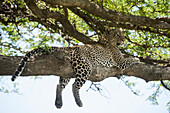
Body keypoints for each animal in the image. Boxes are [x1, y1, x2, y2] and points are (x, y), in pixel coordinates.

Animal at [10, 27, 139, 108]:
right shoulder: (120, 61)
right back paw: (78, 102)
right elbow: (129, 59)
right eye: (117, 34)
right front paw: (137, 59)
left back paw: (58, 103)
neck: (105, 40)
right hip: (85, 67)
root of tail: (70, 47)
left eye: (122, 34)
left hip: (66, 71)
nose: (123, 40)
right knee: (74, 86)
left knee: (59, 85)